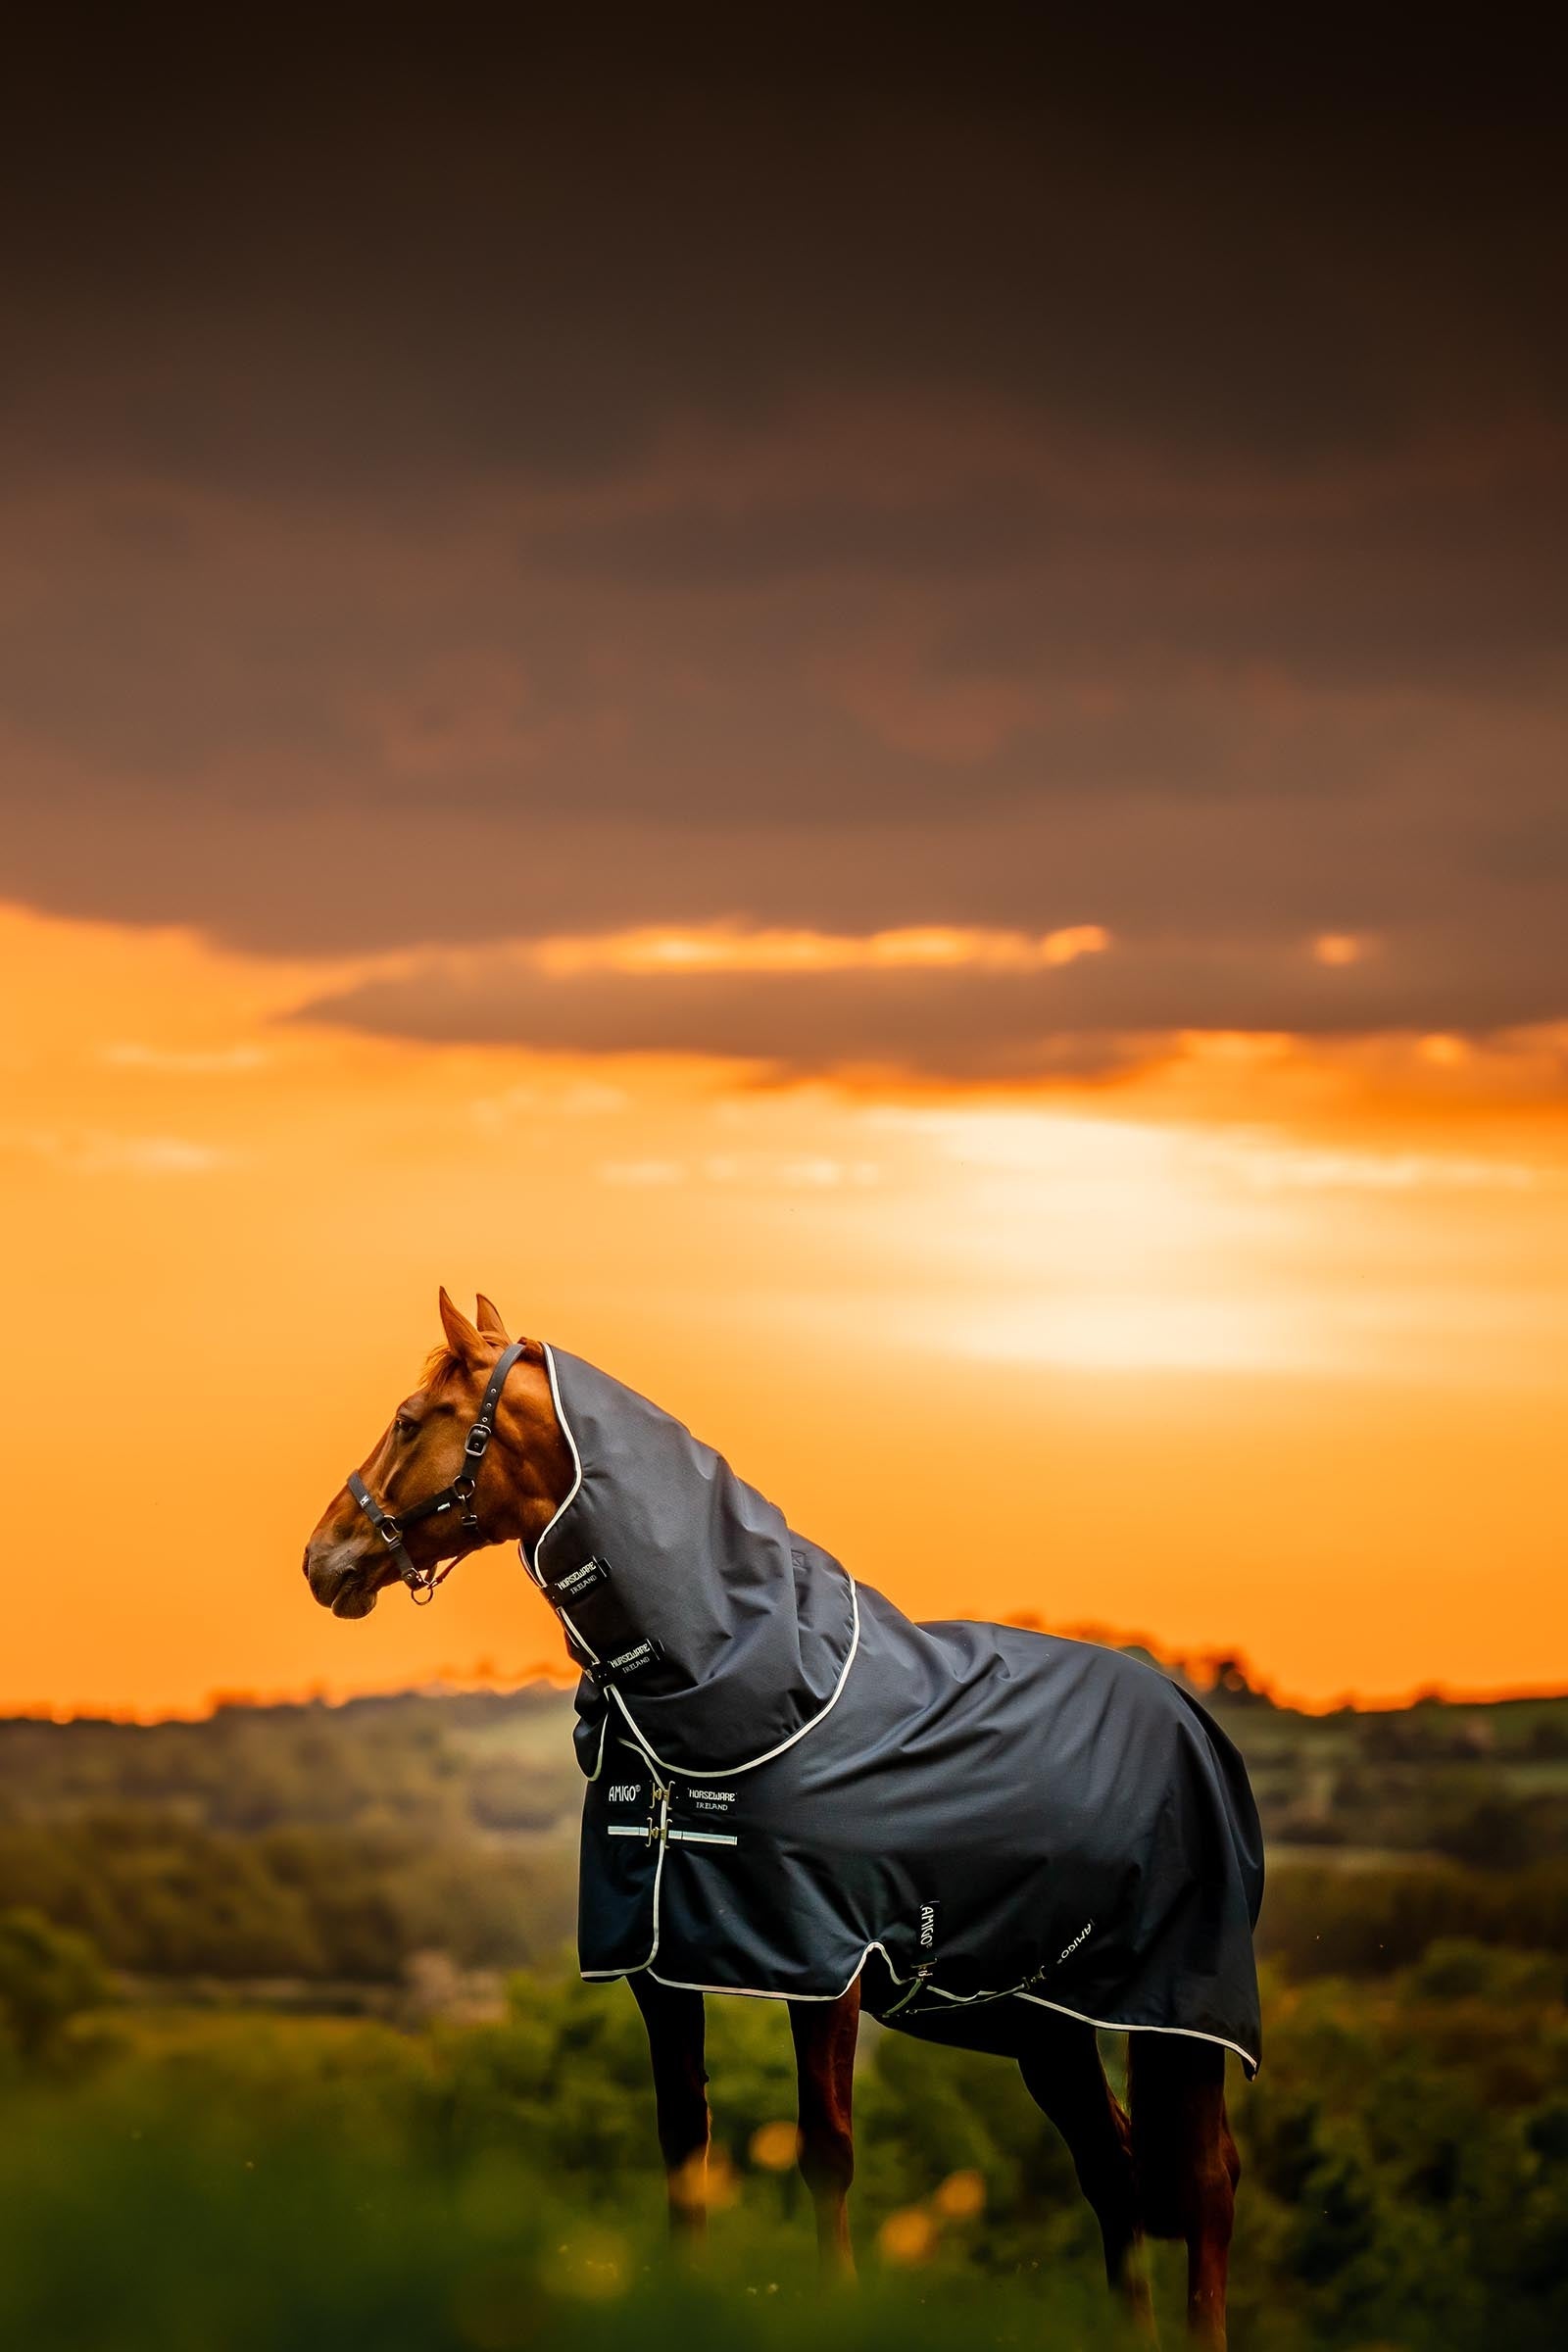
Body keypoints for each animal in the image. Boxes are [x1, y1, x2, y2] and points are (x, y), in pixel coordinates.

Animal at [303, 1291, 1252, 2346]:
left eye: (409, 1419)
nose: (321, 1559)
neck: (753, 1689)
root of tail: (1194, 1722)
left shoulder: (822, 1969)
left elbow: (824, 2154)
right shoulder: (658, 1966)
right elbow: (684, 2139)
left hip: (1179, 2019)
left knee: (1205, 2186)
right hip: (1040, 2019)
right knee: (1114, 2171)